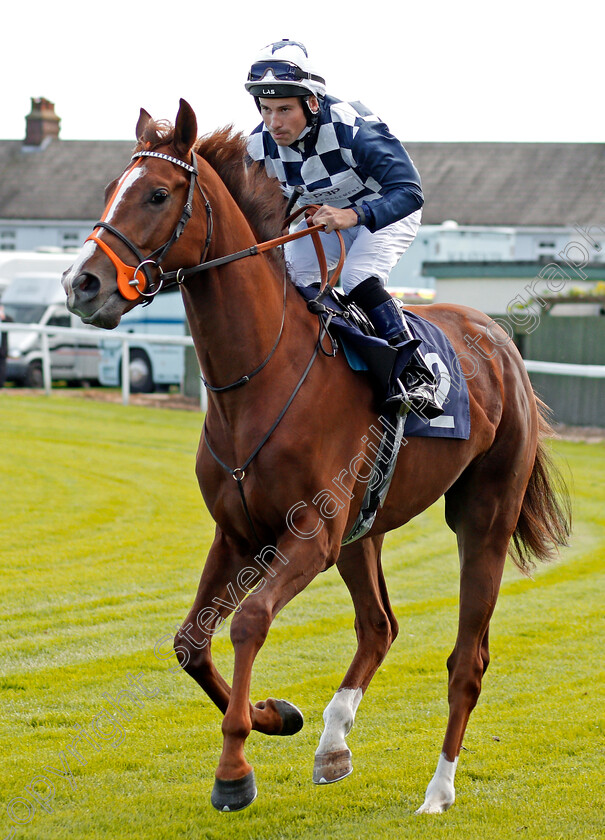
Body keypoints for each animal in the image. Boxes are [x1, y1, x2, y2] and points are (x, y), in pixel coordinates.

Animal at [63, 98, 568, 812]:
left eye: (157, 194)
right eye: (112, 189)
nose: (80, 283)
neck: (260, 377)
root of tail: (499, 339)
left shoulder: (310, 533)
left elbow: (247, 623)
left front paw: (234, 768)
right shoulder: (238, 534)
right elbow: (190, 642)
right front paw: (278, 716)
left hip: (483, 517)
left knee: (466, 660)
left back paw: (438, 790)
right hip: (364, 531)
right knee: (379, 626)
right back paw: (333, 743)